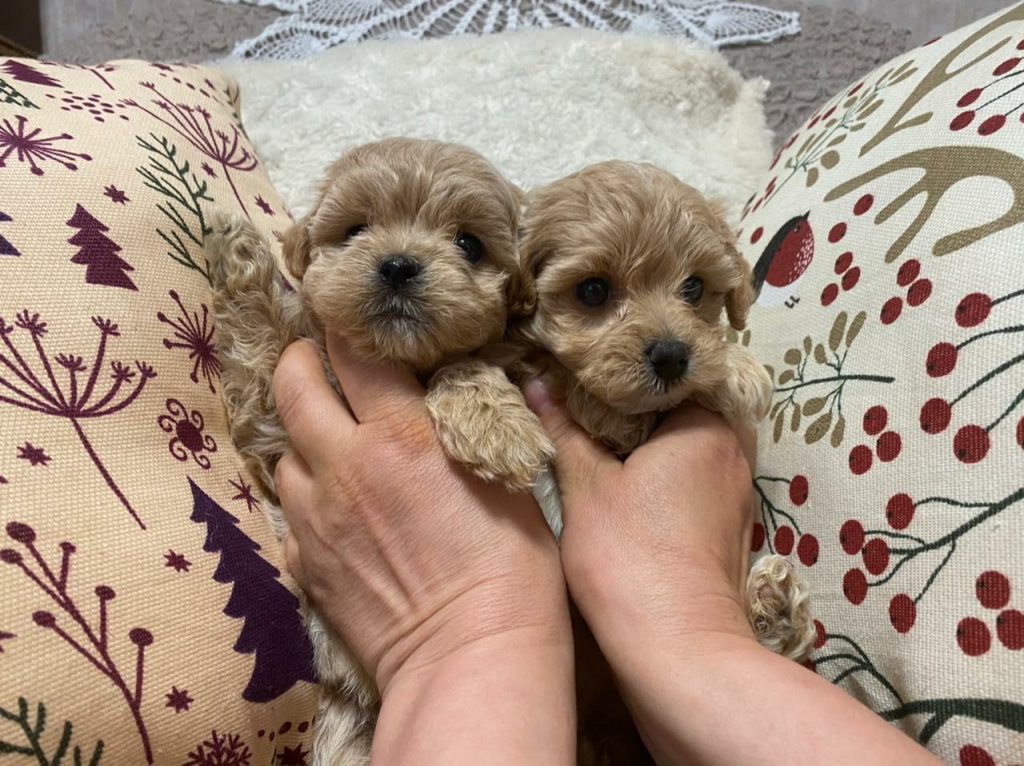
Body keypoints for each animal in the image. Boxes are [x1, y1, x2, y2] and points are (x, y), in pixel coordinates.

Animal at [205, 137, 552, 766]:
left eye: (469, 243)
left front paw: (497, 426)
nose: (397, 265)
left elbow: (467, 364)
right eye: (356, 229)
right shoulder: (269, 421)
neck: (398, 362)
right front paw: (237, 248)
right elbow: (260, 333)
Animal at [512, 159, 815, 761]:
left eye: (693, 286)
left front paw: (735, 370)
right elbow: (576, 387)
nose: (674, 356)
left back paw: (773, 607)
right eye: (593, 290)